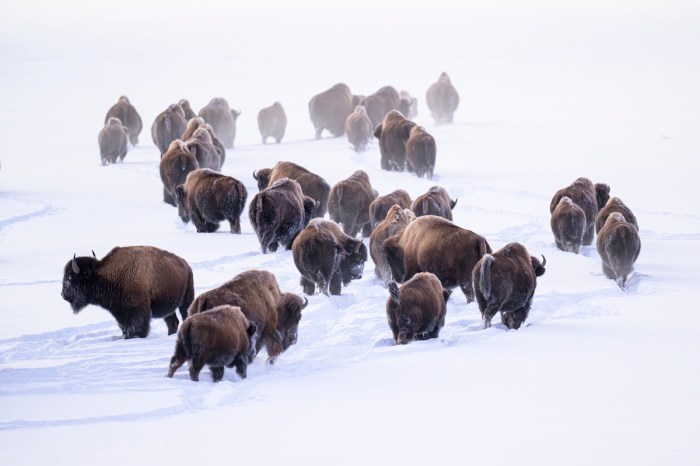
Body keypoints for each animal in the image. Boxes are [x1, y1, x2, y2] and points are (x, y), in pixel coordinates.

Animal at [61, 246, 194, 338]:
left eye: (70, 277)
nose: (63, 294)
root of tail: (186, 265)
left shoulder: (137, 311)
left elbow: (136, 326)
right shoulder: (119, 312)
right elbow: (124, 327)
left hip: (186, 300)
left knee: (185, 314)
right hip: (168, 307)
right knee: (172, 322)